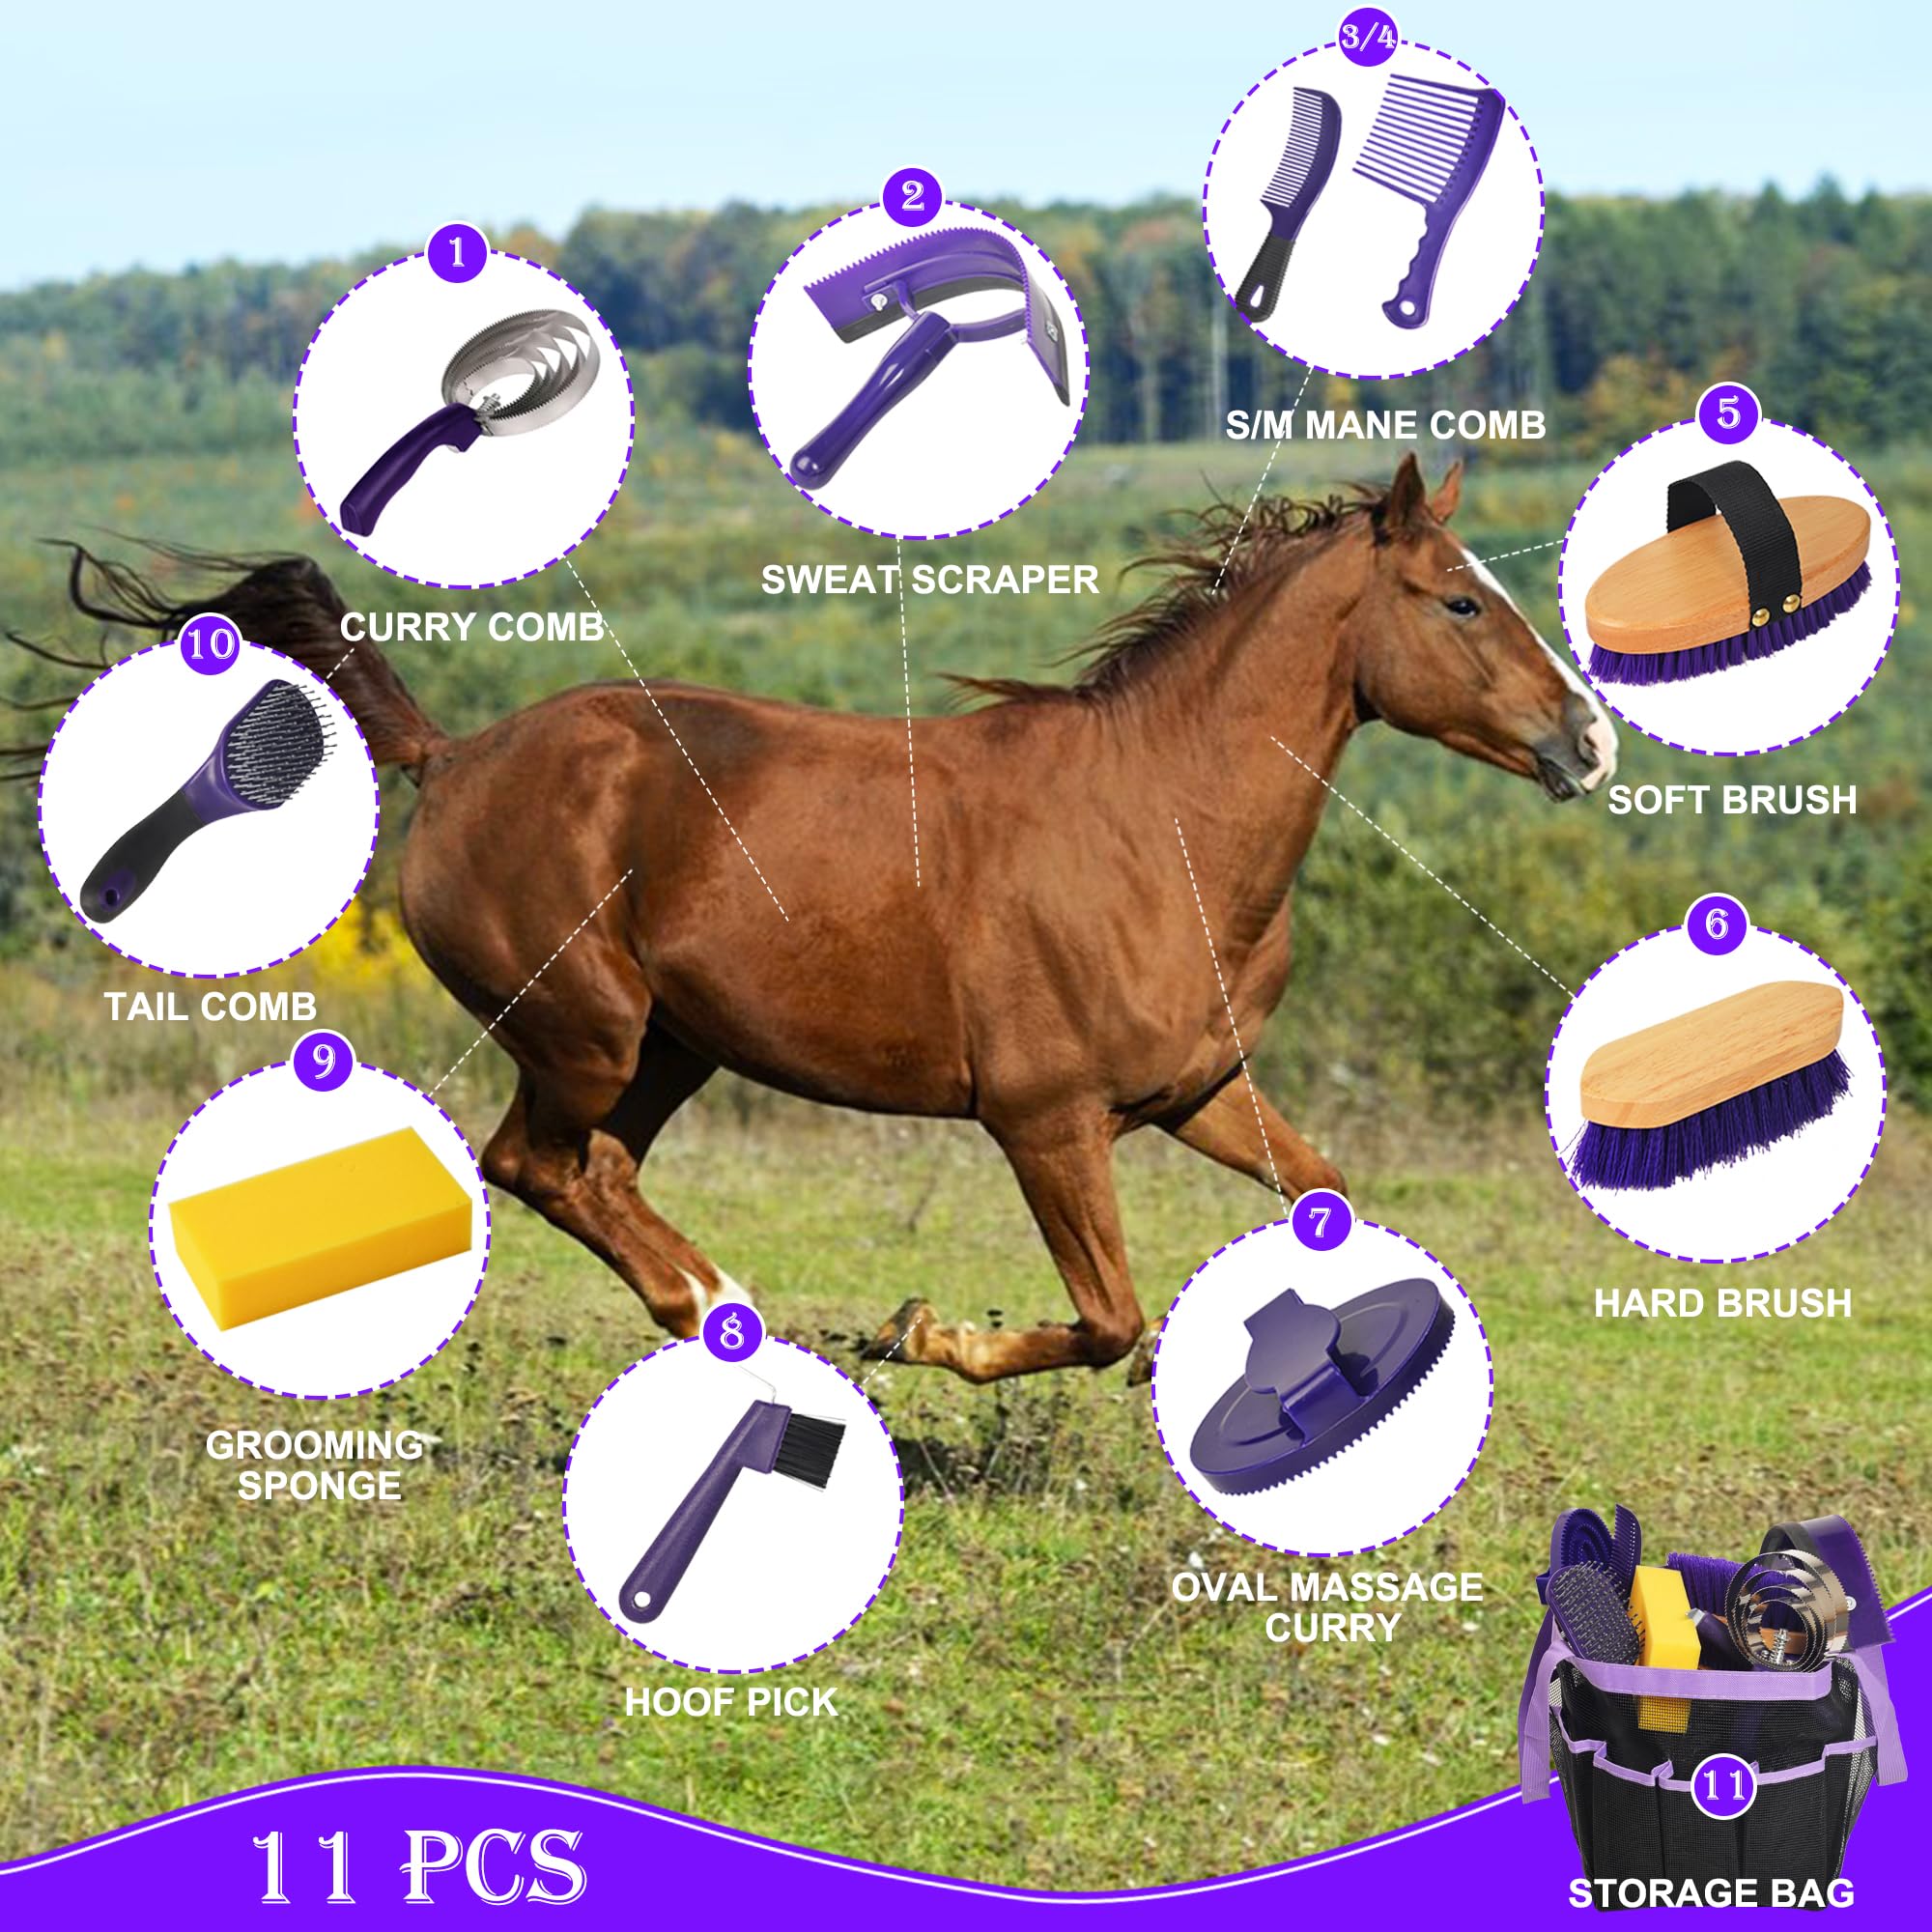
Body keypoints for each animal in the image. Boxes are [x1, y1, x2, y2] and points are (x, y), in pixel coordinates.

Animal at [36, 455, 1614, 1382]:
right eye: (1459, 603)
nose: (1589, 742)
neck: (1159, 827)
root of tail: (452, 757)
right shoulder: (1046, 1121)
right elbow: (1110, 1319)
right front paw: (924, 1334)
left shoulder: (1198, 1091)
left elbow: (1323, 1199)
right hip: (590, 1031)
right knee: (530, 1163)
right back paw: (717, 1307)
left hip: (672, 1046)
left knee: (592, 1172)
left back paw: (717, 1309)